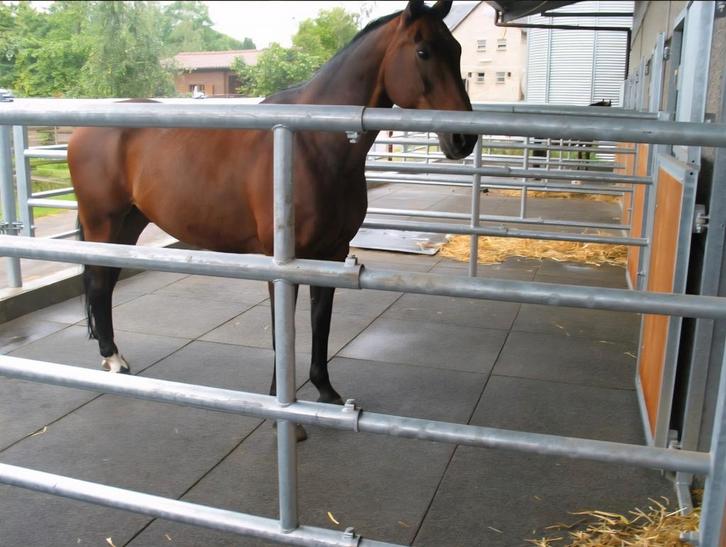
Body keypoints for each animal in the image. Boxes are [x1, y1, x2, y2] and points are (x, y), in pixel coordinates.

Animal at [67, 0, 476, 415]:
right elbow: (285, 327)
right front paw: (277, 396)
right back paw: (114, 360)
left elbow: (320, 321)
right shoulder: (280, 261)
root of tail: (83, 128)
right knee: (99, 282)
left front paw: (325, 390)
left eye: (458, 50)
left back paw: (113, 356)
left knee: (107, 280)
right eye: (423, 51)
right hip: (104, 223)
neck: (310, 144)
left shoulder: (332, 254)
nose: (464, 138)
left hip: (129, 223)